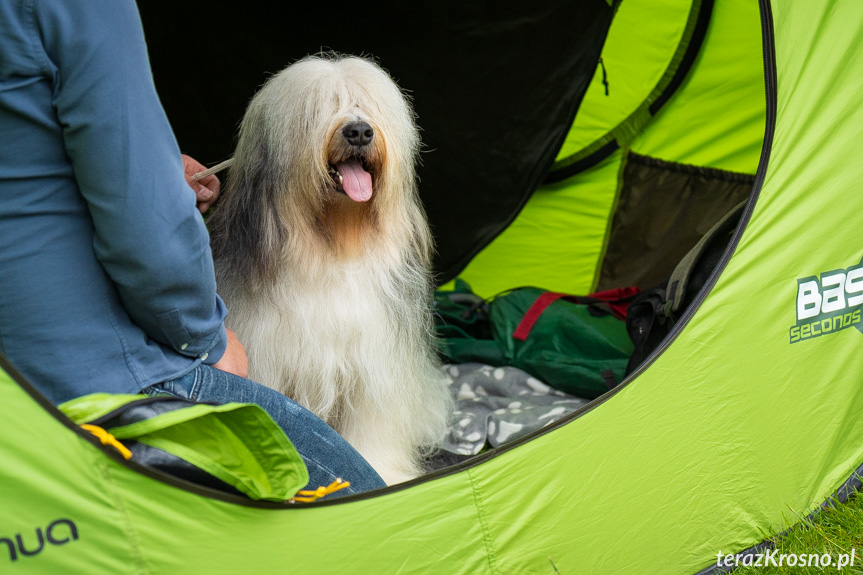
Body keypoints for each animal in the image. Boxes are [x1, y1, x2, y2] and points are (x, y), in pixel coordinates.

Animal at [209, 55, 452, 486]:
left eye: (368, 106)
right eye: (318, 109)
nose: (359, 131)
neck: (331, 249)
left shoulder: (374, 364)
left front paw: (383, 472)